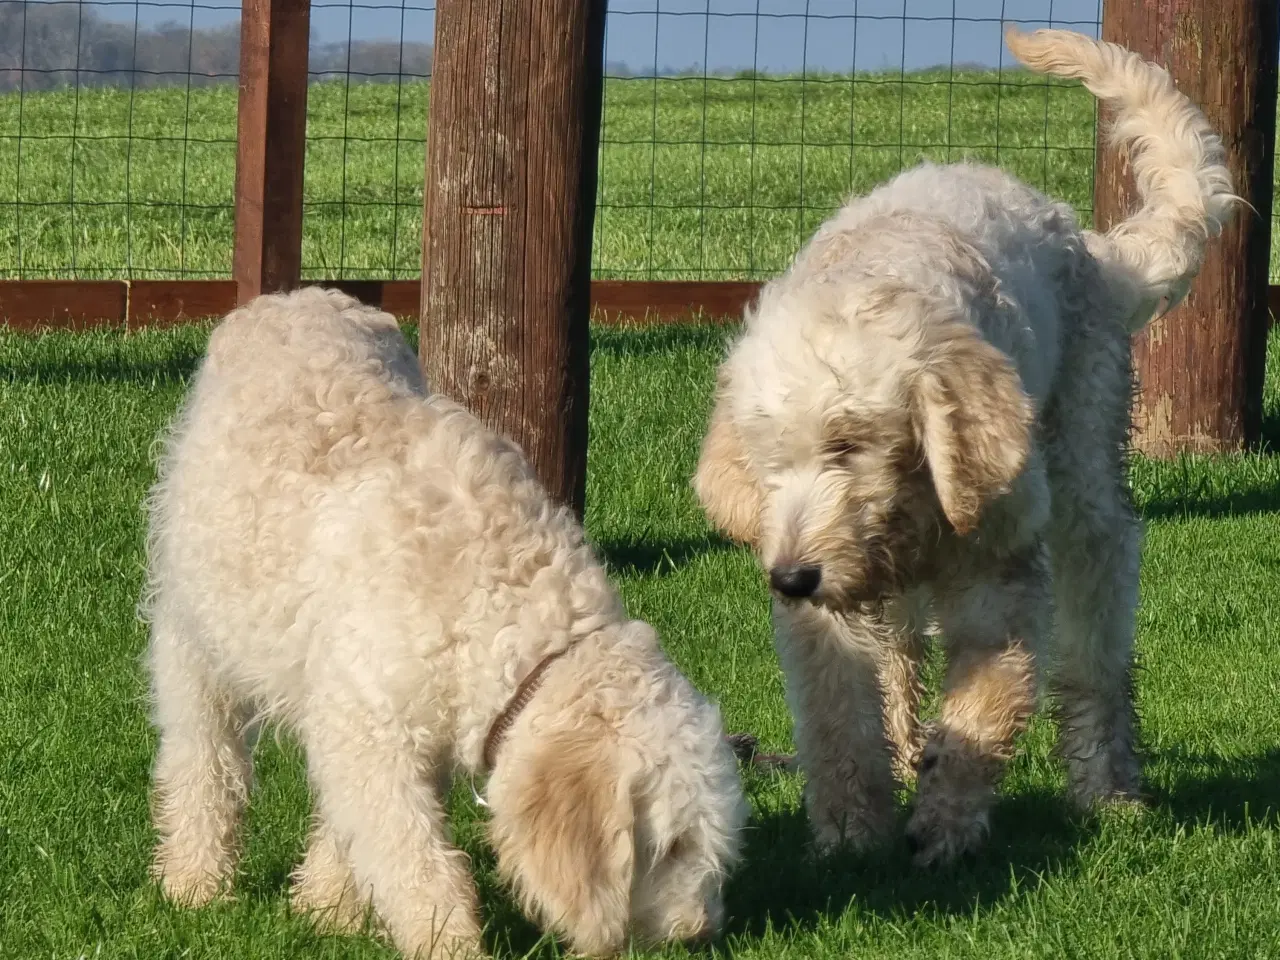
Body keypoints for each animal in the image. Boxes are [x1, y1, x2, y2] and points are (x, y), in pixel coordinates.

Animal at [696, 28, 1233, 870]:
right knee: (899, 656)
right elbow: (837, 716)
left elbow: (984, 703)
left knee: (1097, 643)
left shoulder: (997, 572)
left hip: (1084, 470)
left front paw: (945, 826)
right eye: (768, 463)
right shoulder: (829, 613)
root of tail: (1091, 246)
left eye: (848, 443)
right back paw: (902, 748)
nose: (790, 577)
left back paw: (1107, 787)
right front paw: (850, 833)